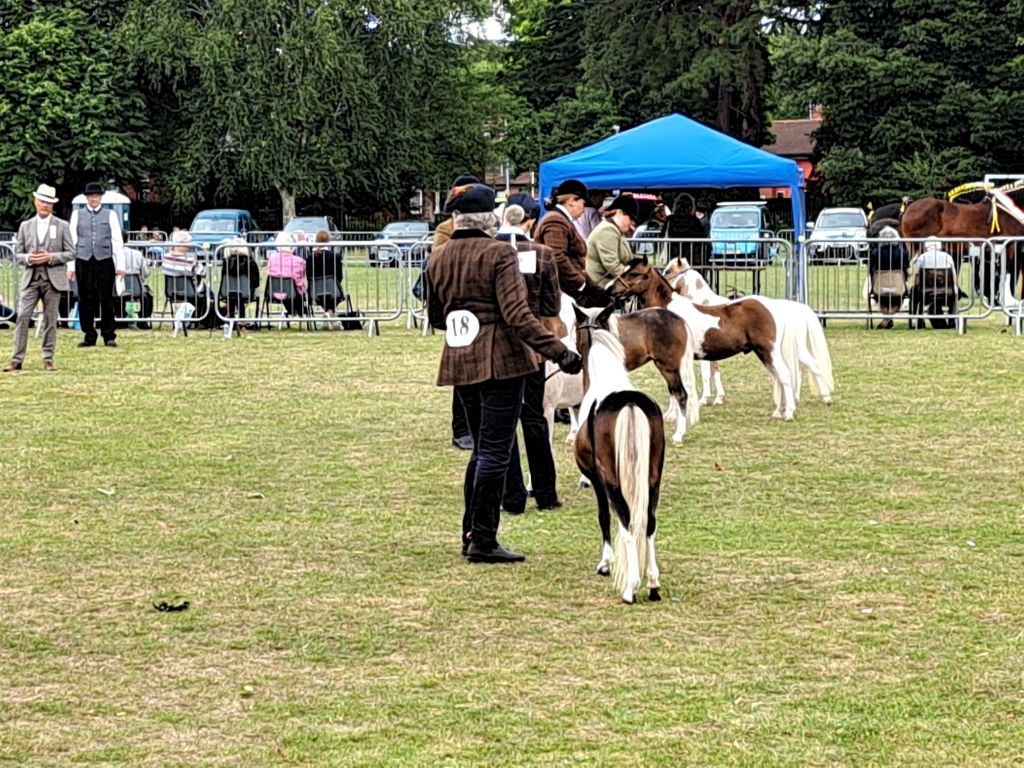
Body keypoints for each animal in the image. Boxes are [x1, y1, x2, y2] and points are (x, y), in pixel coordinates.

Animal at [573, 327, 666, 604]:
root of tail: (630, 402)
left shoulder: (596, 478)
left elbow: (603, 516)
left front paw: (605, 563)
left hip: (612, 481)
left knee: (626, 521)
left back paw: (630, 588)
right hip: (653, 479)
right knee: (649, 522)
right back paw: (653, 584)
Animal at [607, 258, 801, 419]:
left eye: (634, 273)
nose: (610, 288)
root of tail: (771, 306)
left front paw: (673, 415)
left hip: (769, 350)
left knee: (784, 375)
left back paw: (789, 412)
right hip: (762, 352)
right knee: (777, 376)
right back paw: (779, 411)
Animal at [662, 258, 835, 408]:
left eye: (669, 270)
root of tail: (797, 308)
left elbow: (706, 374)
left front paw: (703, 399)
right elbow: (715, 371)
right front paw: (719, 398)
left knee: (813, 365)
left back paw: (826, 398)